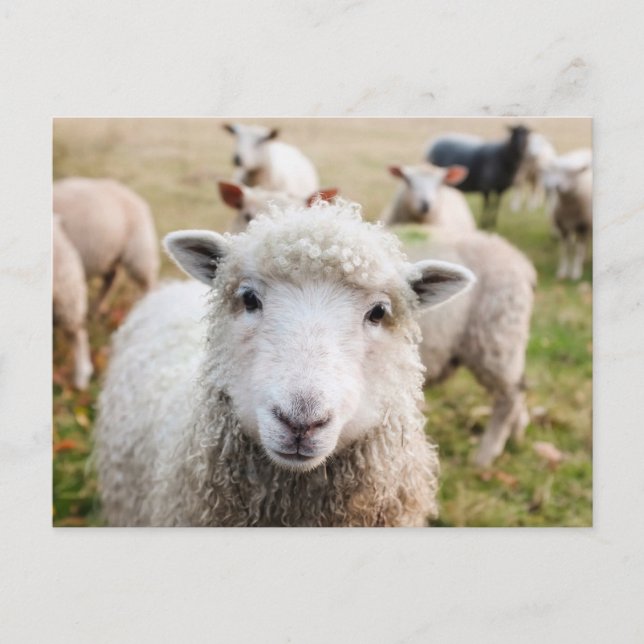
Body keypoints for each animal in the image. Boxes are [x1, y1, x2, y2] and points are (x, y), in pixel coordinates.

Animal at [394, 224, 536, 467]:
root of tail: (522, 263)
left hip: (495, 336)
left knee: (510, 396)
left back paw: (485, 456)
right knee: (519, 388)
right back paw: (517, 435)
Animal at [542, 149, 593, 280]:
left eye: (572, 174)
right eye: (556, 171)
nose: (557, 186)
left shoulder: (583, 226)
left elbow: (579, 249)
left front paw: (576, 273)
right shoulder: (563, 227)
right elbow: (565, 249)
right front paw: (563, 272)